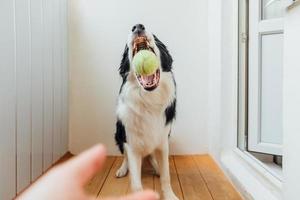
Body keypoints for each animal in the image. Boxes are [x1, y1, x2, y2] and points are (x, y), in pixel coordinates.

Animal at [113, 24, 177, 199]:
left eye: (156, 36)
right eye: (126, 47)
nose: (137, 26)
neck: (149, 99)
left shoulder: (163, 140)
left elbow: (166, 176)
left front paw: (170, 195)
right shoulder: (131, 143)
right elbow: (136, 184)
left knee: (152, 155)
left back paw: (156, 166)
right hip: (118, 134)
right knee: (125, 156)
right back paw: (122, 169)